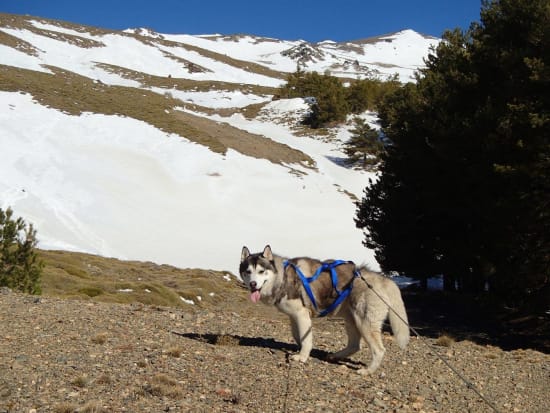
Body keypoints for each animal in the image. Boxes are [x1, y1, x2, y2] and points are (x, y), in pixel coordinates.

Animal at [242, 245, 410, 374]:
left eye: (262, 271)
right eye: (248, 271)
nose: (252, 284)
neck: (282, 277)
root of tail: (385, 280)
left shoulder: (301, 314)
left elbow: (306, 339)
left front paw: (302, 357)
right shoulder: (294, 317)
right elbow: (299, 336)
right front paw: (300, 349)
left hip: (365, 323)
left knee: (379, 350)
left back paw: (368, 371)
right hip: (351, 320)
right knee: (355, 345)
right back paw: (335, 356)